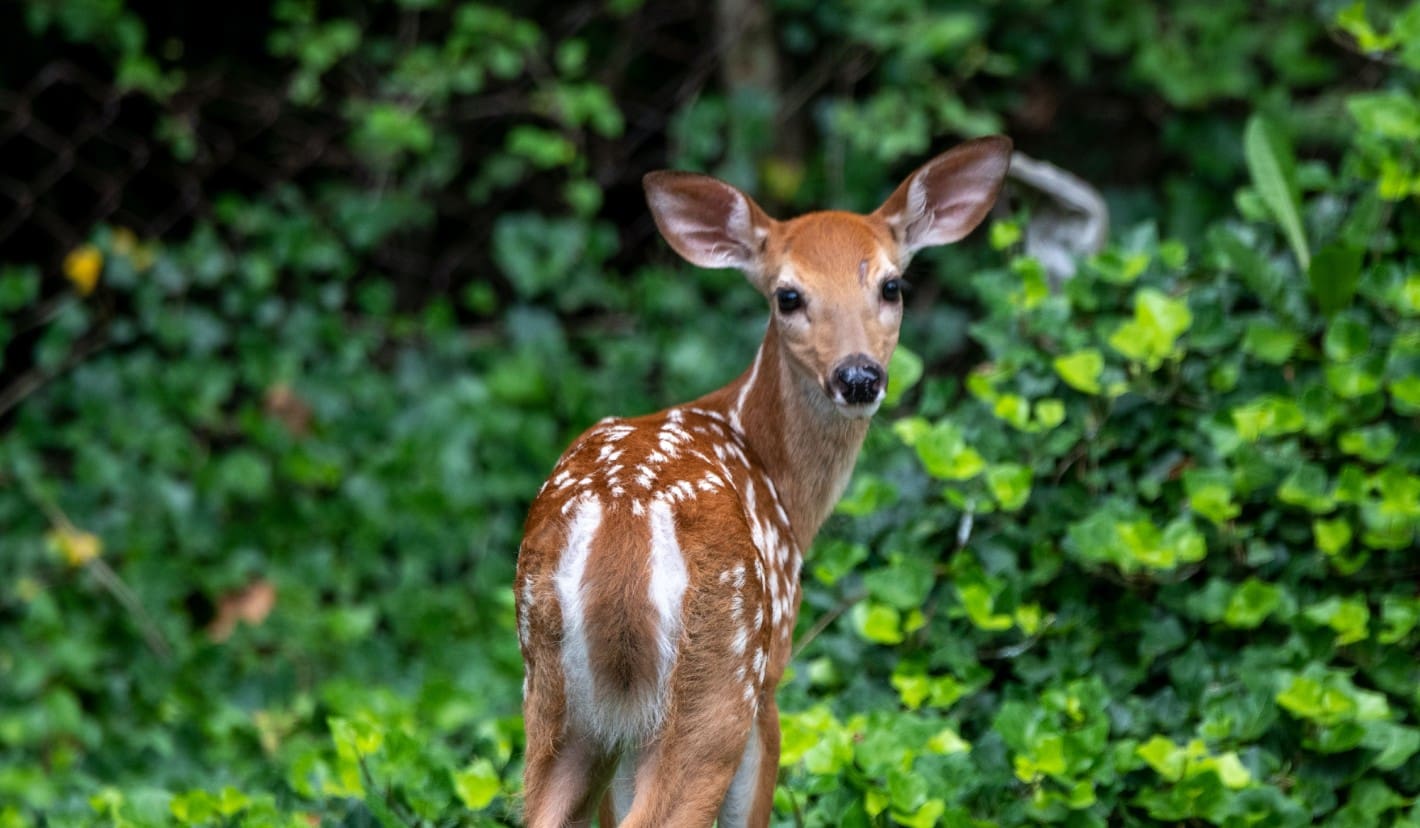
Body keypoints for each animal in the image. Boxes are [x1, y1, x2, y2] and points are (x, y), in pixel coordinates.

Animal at [514, 137, 1011, 828]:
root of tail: (622, 524)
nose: (859, 376)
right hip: (722, 669)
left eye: (891, 285)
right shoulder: (772, 672)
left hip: (557, 696)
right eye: (788, 296)